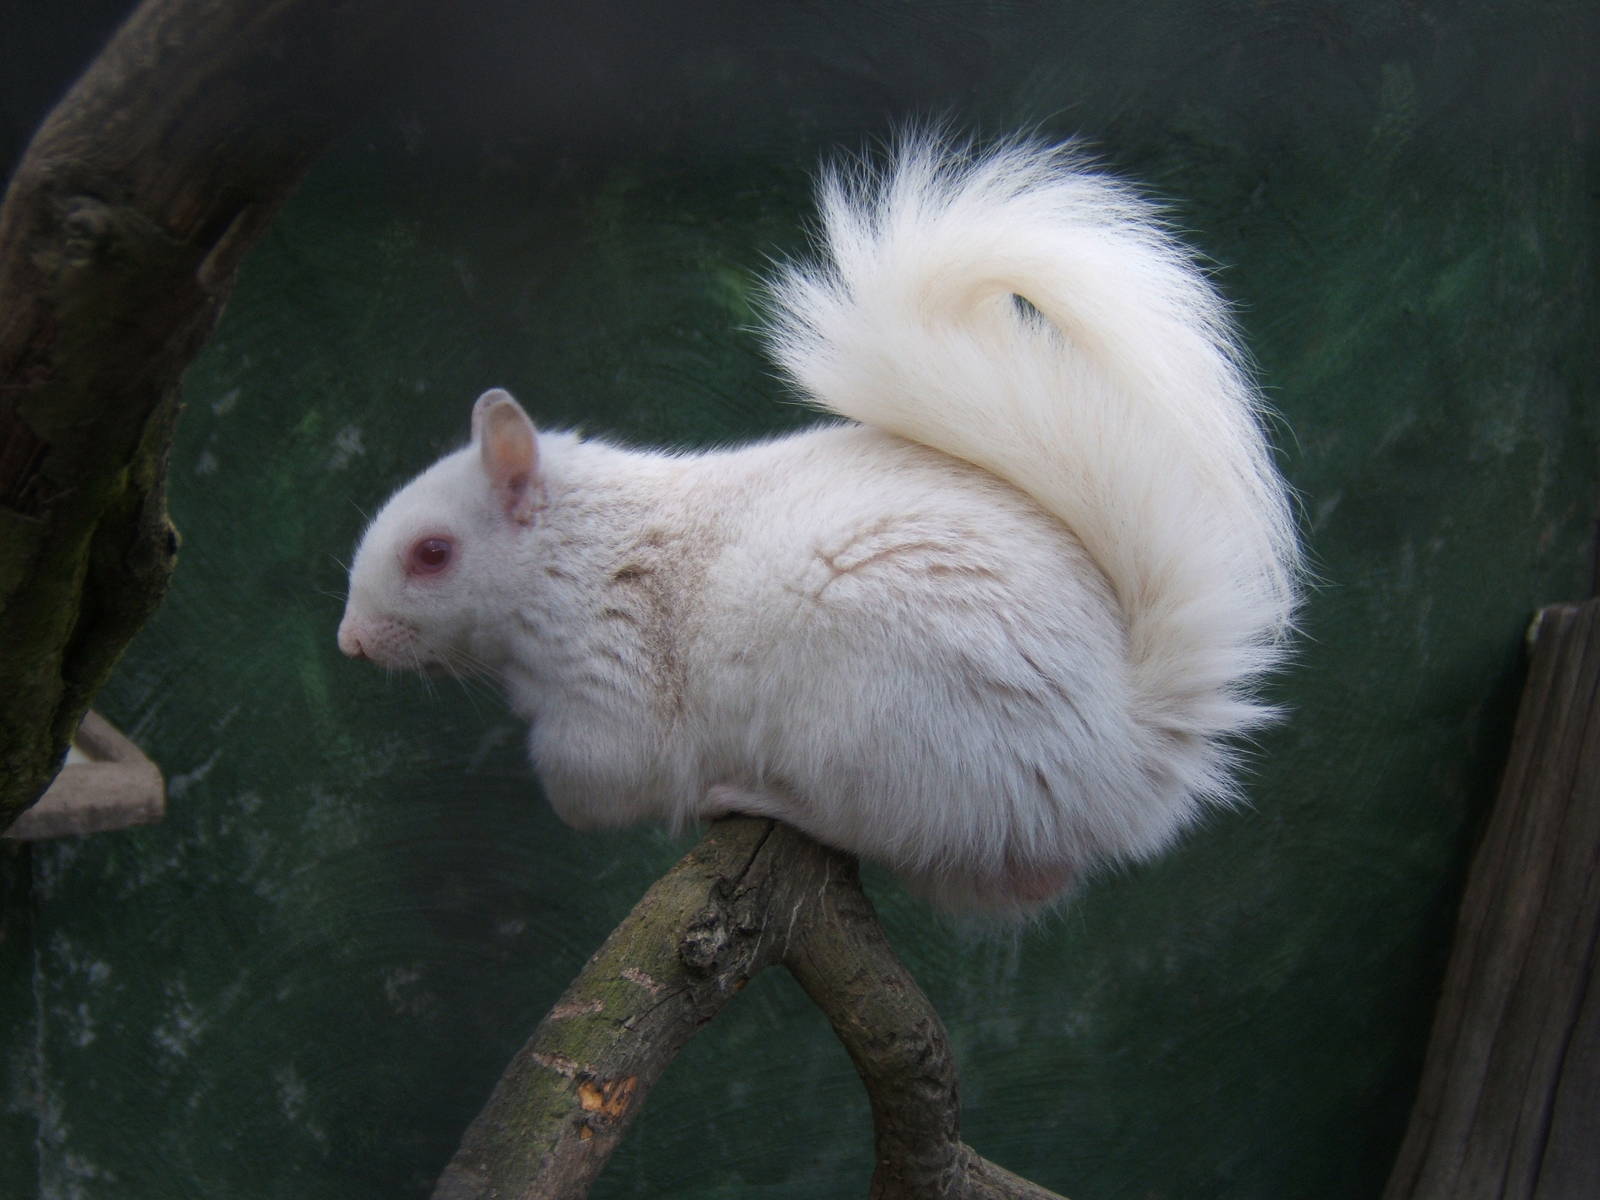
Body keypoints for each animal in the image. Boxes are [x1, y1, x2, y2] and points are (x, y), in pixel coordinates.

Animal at [337, 134, 1301, 913]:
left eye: (433, 554)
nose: (350, 643)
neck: (571, 559)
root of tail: (1123, 759)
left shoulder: (610, 692)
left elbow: (600, 785)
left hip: (874, 727)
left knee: (888, 834)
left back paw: (758, 799)